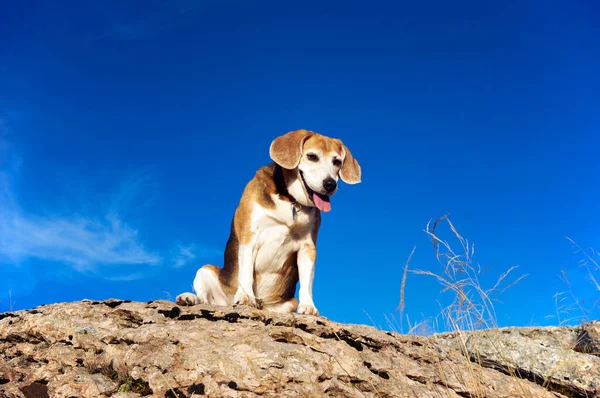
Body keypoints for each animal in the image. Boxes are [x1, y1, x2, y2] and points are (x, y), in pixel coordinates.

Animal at [173, 129, 360, 316]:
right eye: (312, 156)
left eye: (337, 162)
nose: (330, 184)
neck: (290, 200)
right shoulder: (249, 236)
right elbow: (246, 271)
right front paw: (246, 296)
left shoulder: (307, 247)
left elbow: (307, 282)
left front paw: (308, 306)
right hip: (205, 270)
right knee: (205, 300)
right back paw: (190, 298)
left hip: (288, 302)